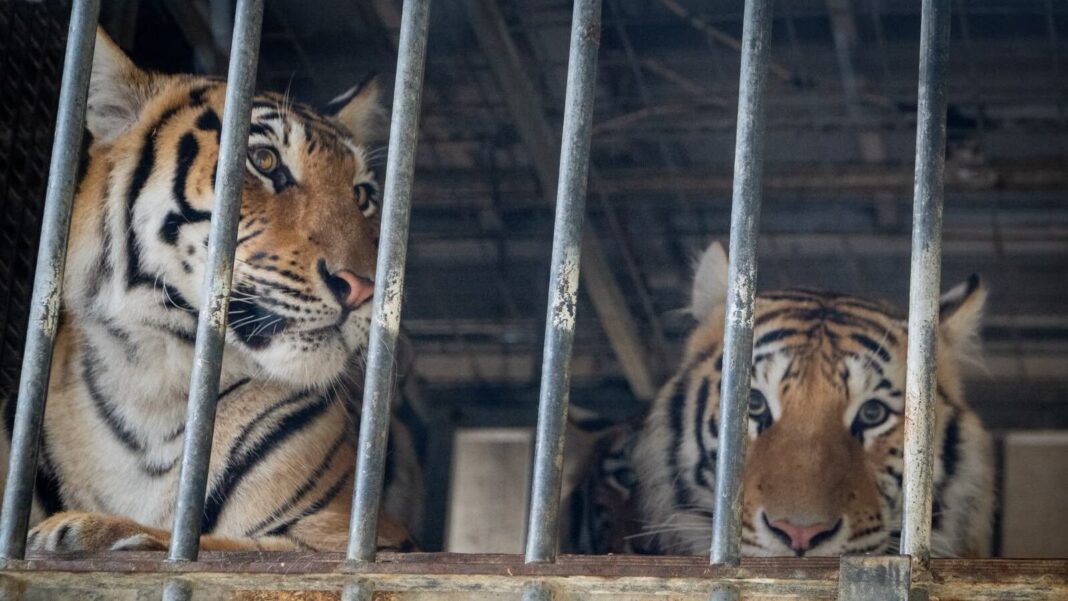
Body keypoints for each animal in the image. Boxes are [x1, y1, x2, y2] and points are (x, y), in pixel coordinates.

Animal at [0, 29, 424, 553]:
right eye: (264, 160)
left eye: (362, 195)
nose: (365, 287)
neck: (152, 386)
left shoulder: (364, 538)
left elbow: (217, 544)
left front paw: (87, 529)